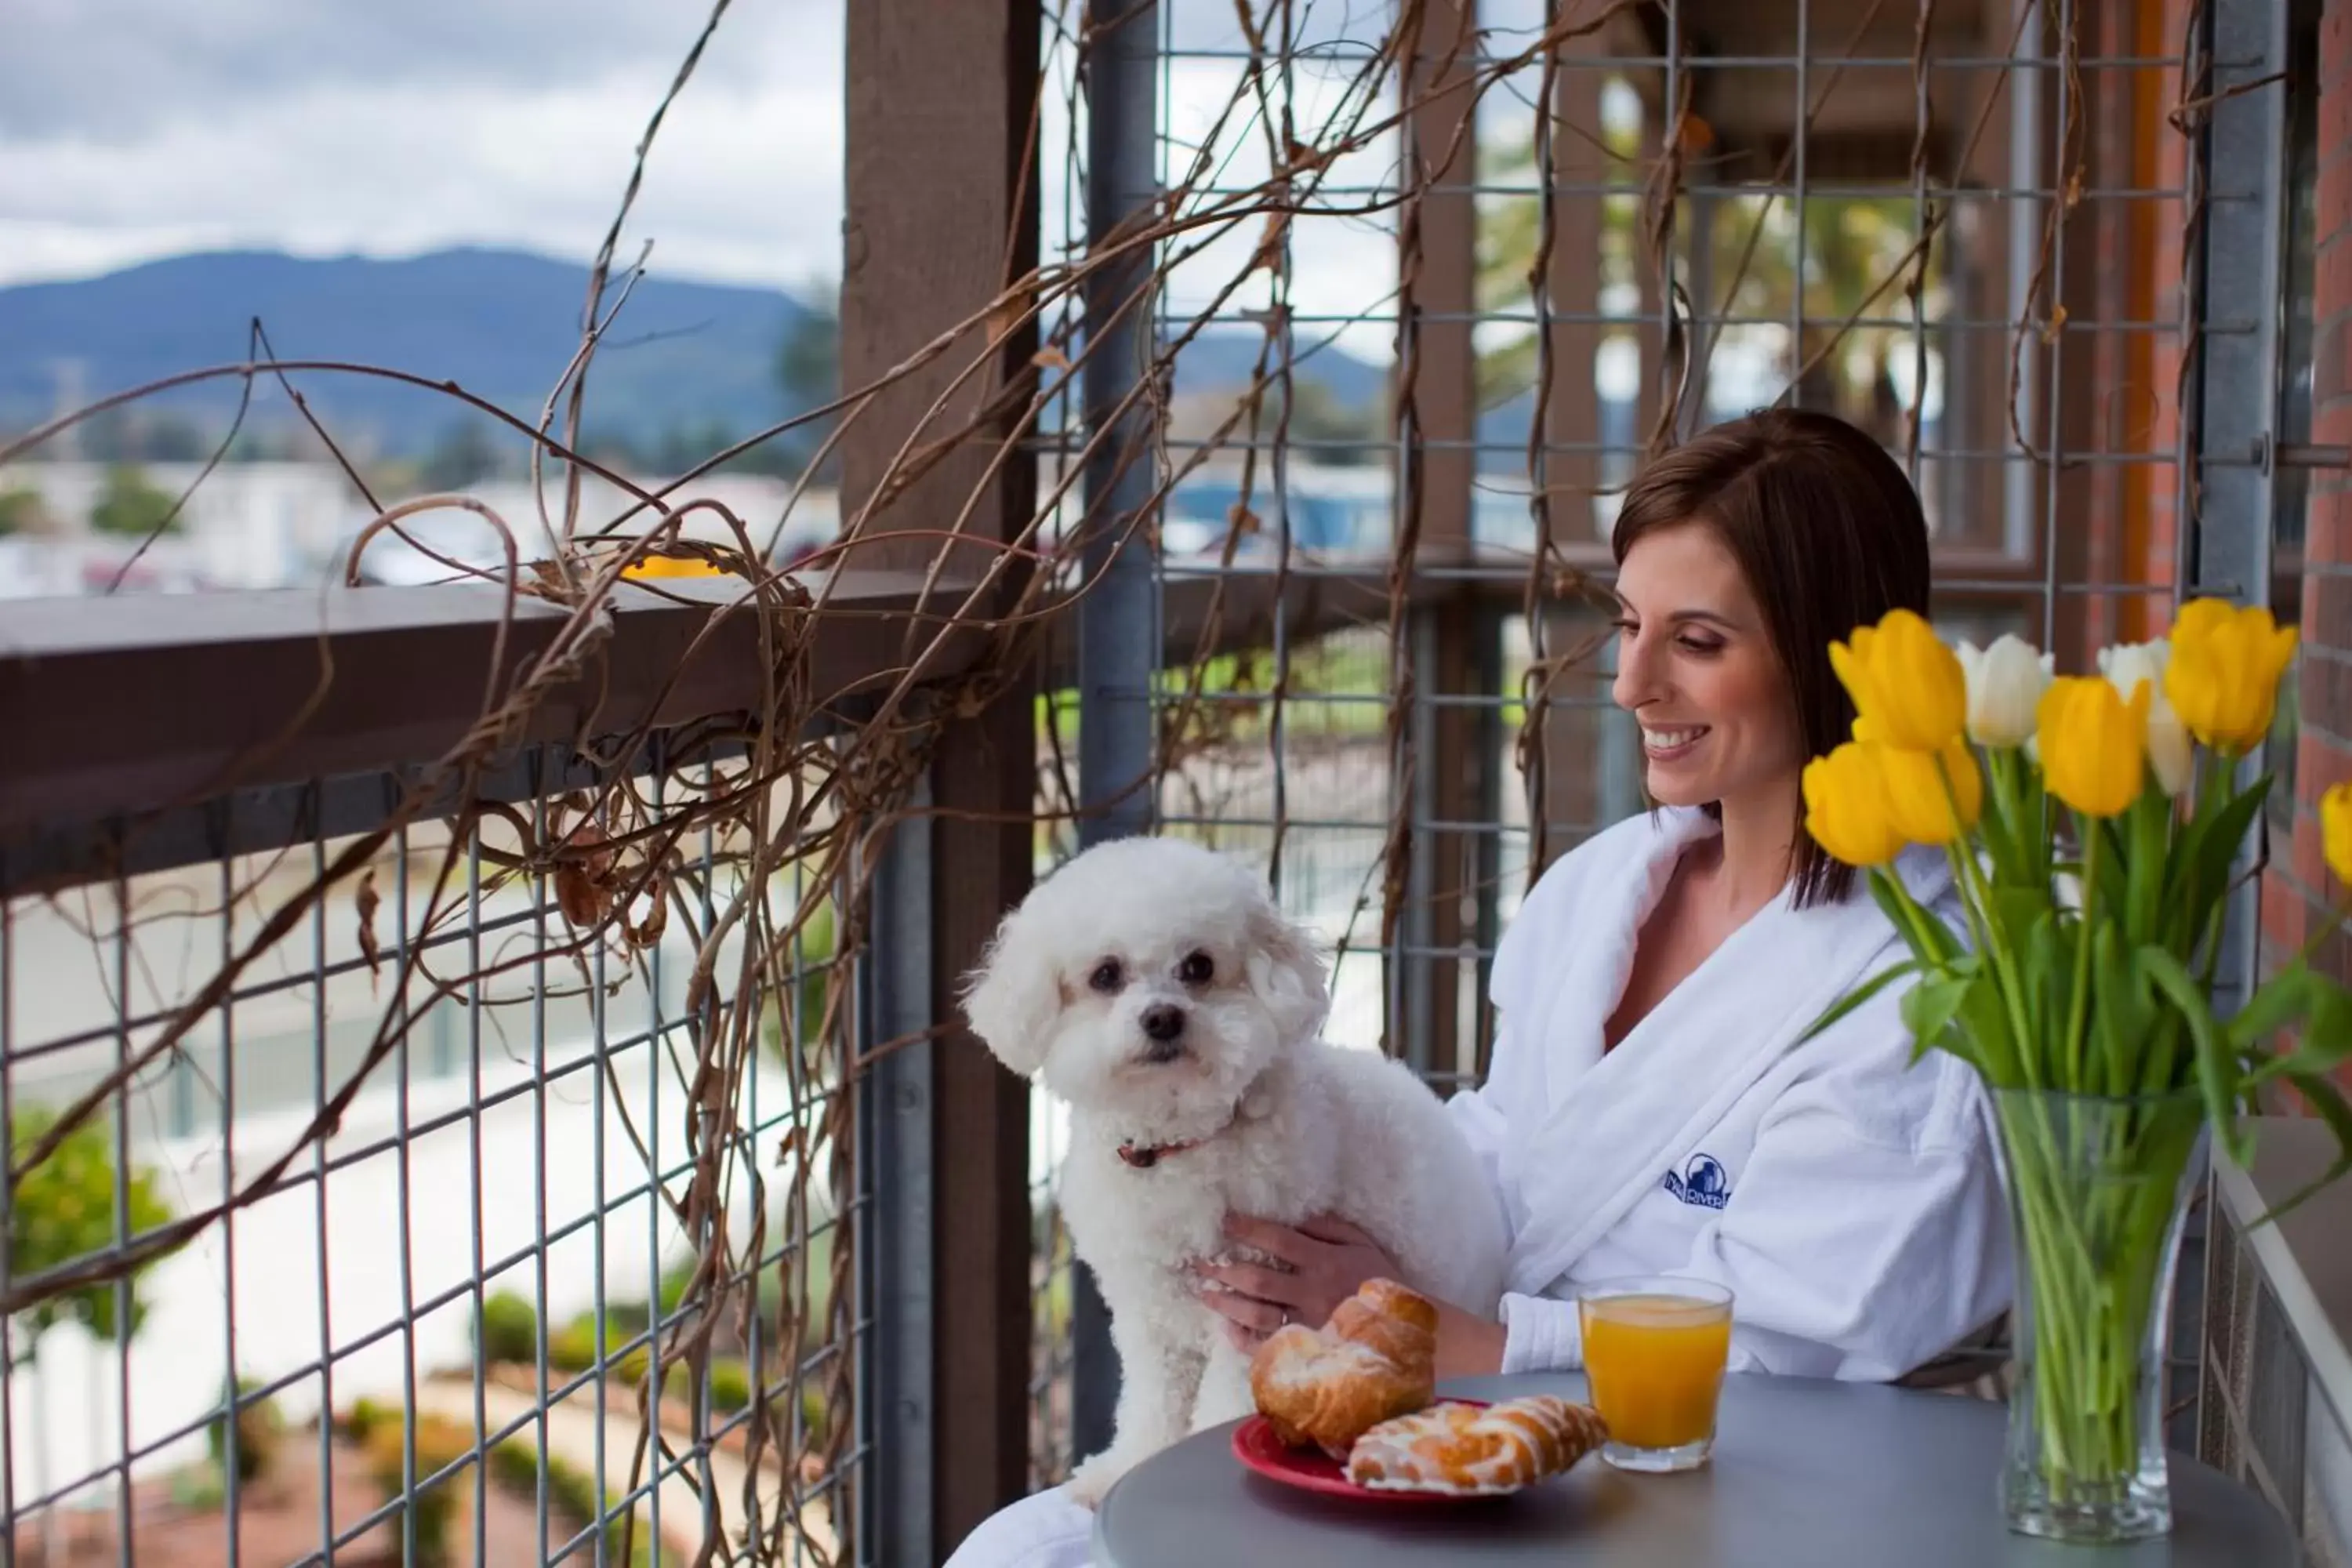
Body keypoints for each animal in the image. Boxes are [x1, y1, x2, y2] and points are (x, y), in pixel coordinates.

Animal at [960, 832, 1496, 1504]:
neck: (1176, 1147)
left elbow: (1224, 1401)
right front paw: (1125, 1467)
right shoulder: (1149, 1311)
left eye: (1199, 967)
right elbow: (1152, 1404)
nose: (1163, 1017)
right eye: (1106, 975)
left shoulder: (1253, 1306)